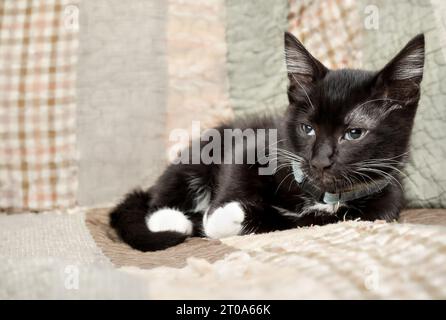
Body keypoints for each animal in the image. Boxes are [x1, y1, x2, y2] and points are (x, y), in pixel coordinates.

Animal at [109, 33, 426, 252]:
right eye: (307, 128)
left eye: (354, 133)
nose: (319, 161)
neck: (320, 195)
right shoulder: (258, 145)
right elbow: (236, 175)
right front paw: (218, 214)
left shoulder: (382, 208)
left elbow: (296, 221)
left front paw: (232, 218)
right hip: (199, 154)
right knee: (161, 198)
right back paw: (176, 217)